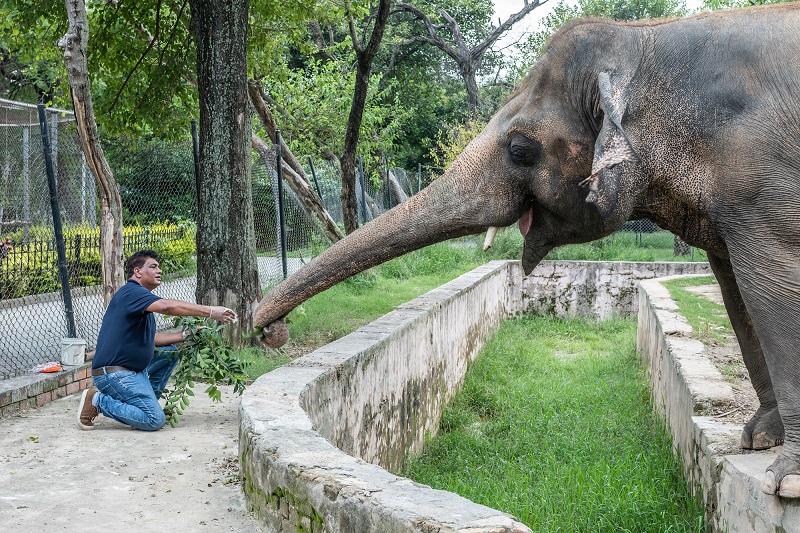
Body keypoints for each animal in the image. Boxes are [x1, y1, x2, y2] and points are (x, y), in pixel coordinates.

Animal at [255, 6, 800, 498]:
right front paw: (757, 439)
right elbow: (736, 293)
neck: (640, 40)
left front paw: (786, 482)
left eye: (520, 150)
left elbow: (771, 290)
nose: (270, 330)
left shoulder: (764, 182)